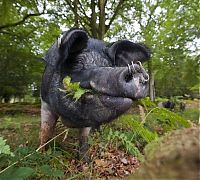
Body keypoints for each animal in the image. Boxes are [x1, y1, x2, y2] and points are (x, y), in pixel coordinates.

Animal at [39, 28, 151, 161]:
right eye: (77, 64)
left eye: (109, 65)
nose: (136, 69)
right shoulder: (45, 102)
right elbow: (45, 130)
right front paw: (41, 154)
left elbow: (84, 137)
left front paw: (85, 161)